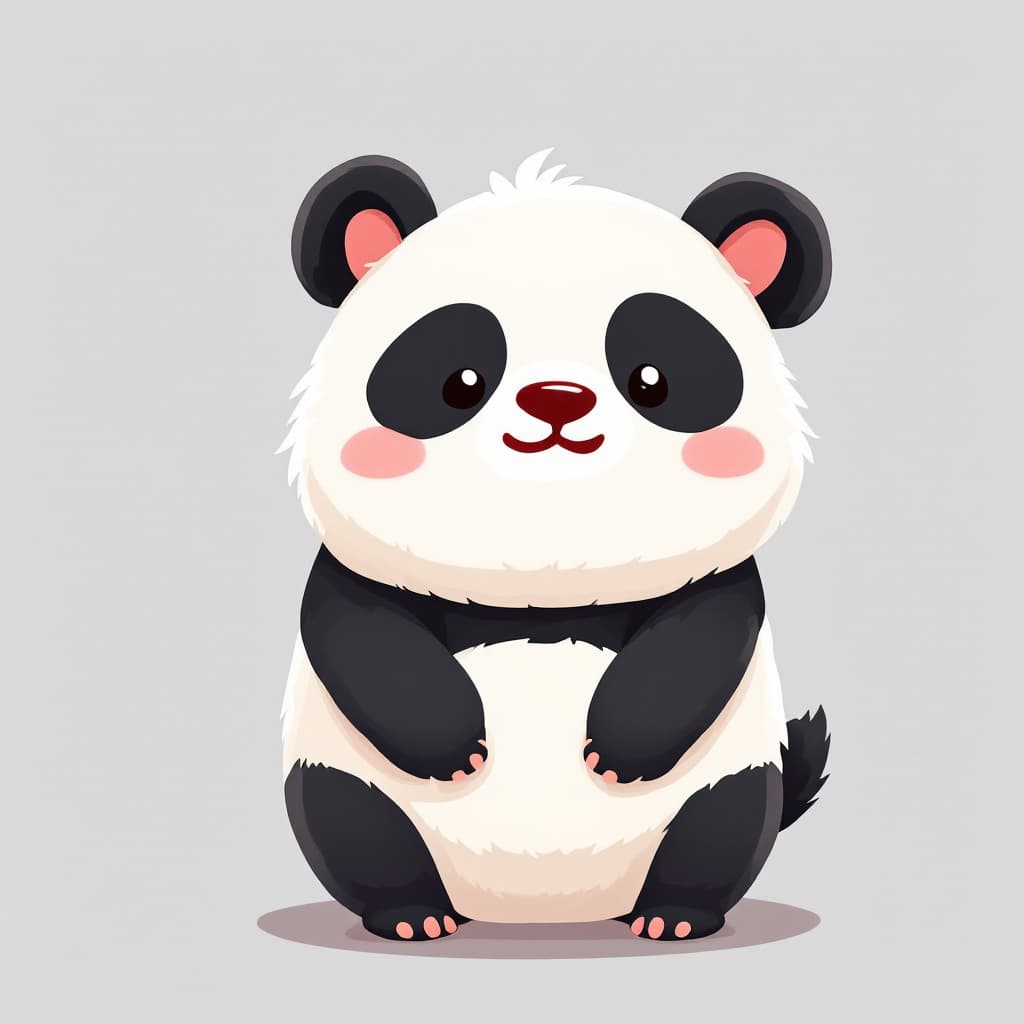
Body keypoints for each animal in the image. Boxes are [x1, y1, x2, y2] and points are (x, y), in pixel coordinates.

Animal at [279, 149, 832, 943]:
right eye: (458, 380)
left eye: (653, 378)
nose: (557, 401)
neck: (545, 573)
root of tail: (546, 910)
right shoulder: (360, 570)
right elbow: (361, 636)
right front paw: (454, 751)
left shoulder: (716, 578)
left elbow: (702, 640)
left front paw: (619, 753)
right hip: (341, 775)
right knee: (350, 820)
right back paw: (414, 915)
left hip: (731, 776)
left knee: (724, 821)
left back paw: (674, 915)